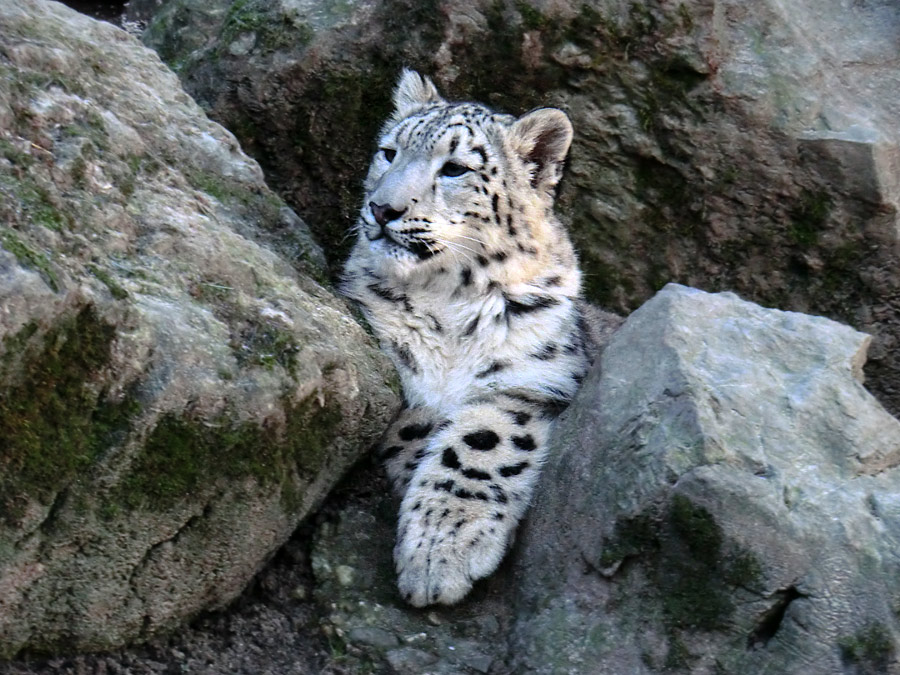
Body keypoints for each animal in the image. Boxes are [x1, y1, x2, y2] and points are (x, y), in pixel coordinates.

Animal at [342, 70, 588, 608]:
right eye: (389, 152)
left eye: (455, 168)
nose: (382, 207)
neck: (447, 299)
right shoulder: (393, 363)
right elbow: (419, 426)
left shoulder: (534, 380)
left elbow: (479, 446)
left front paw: (440, 549)